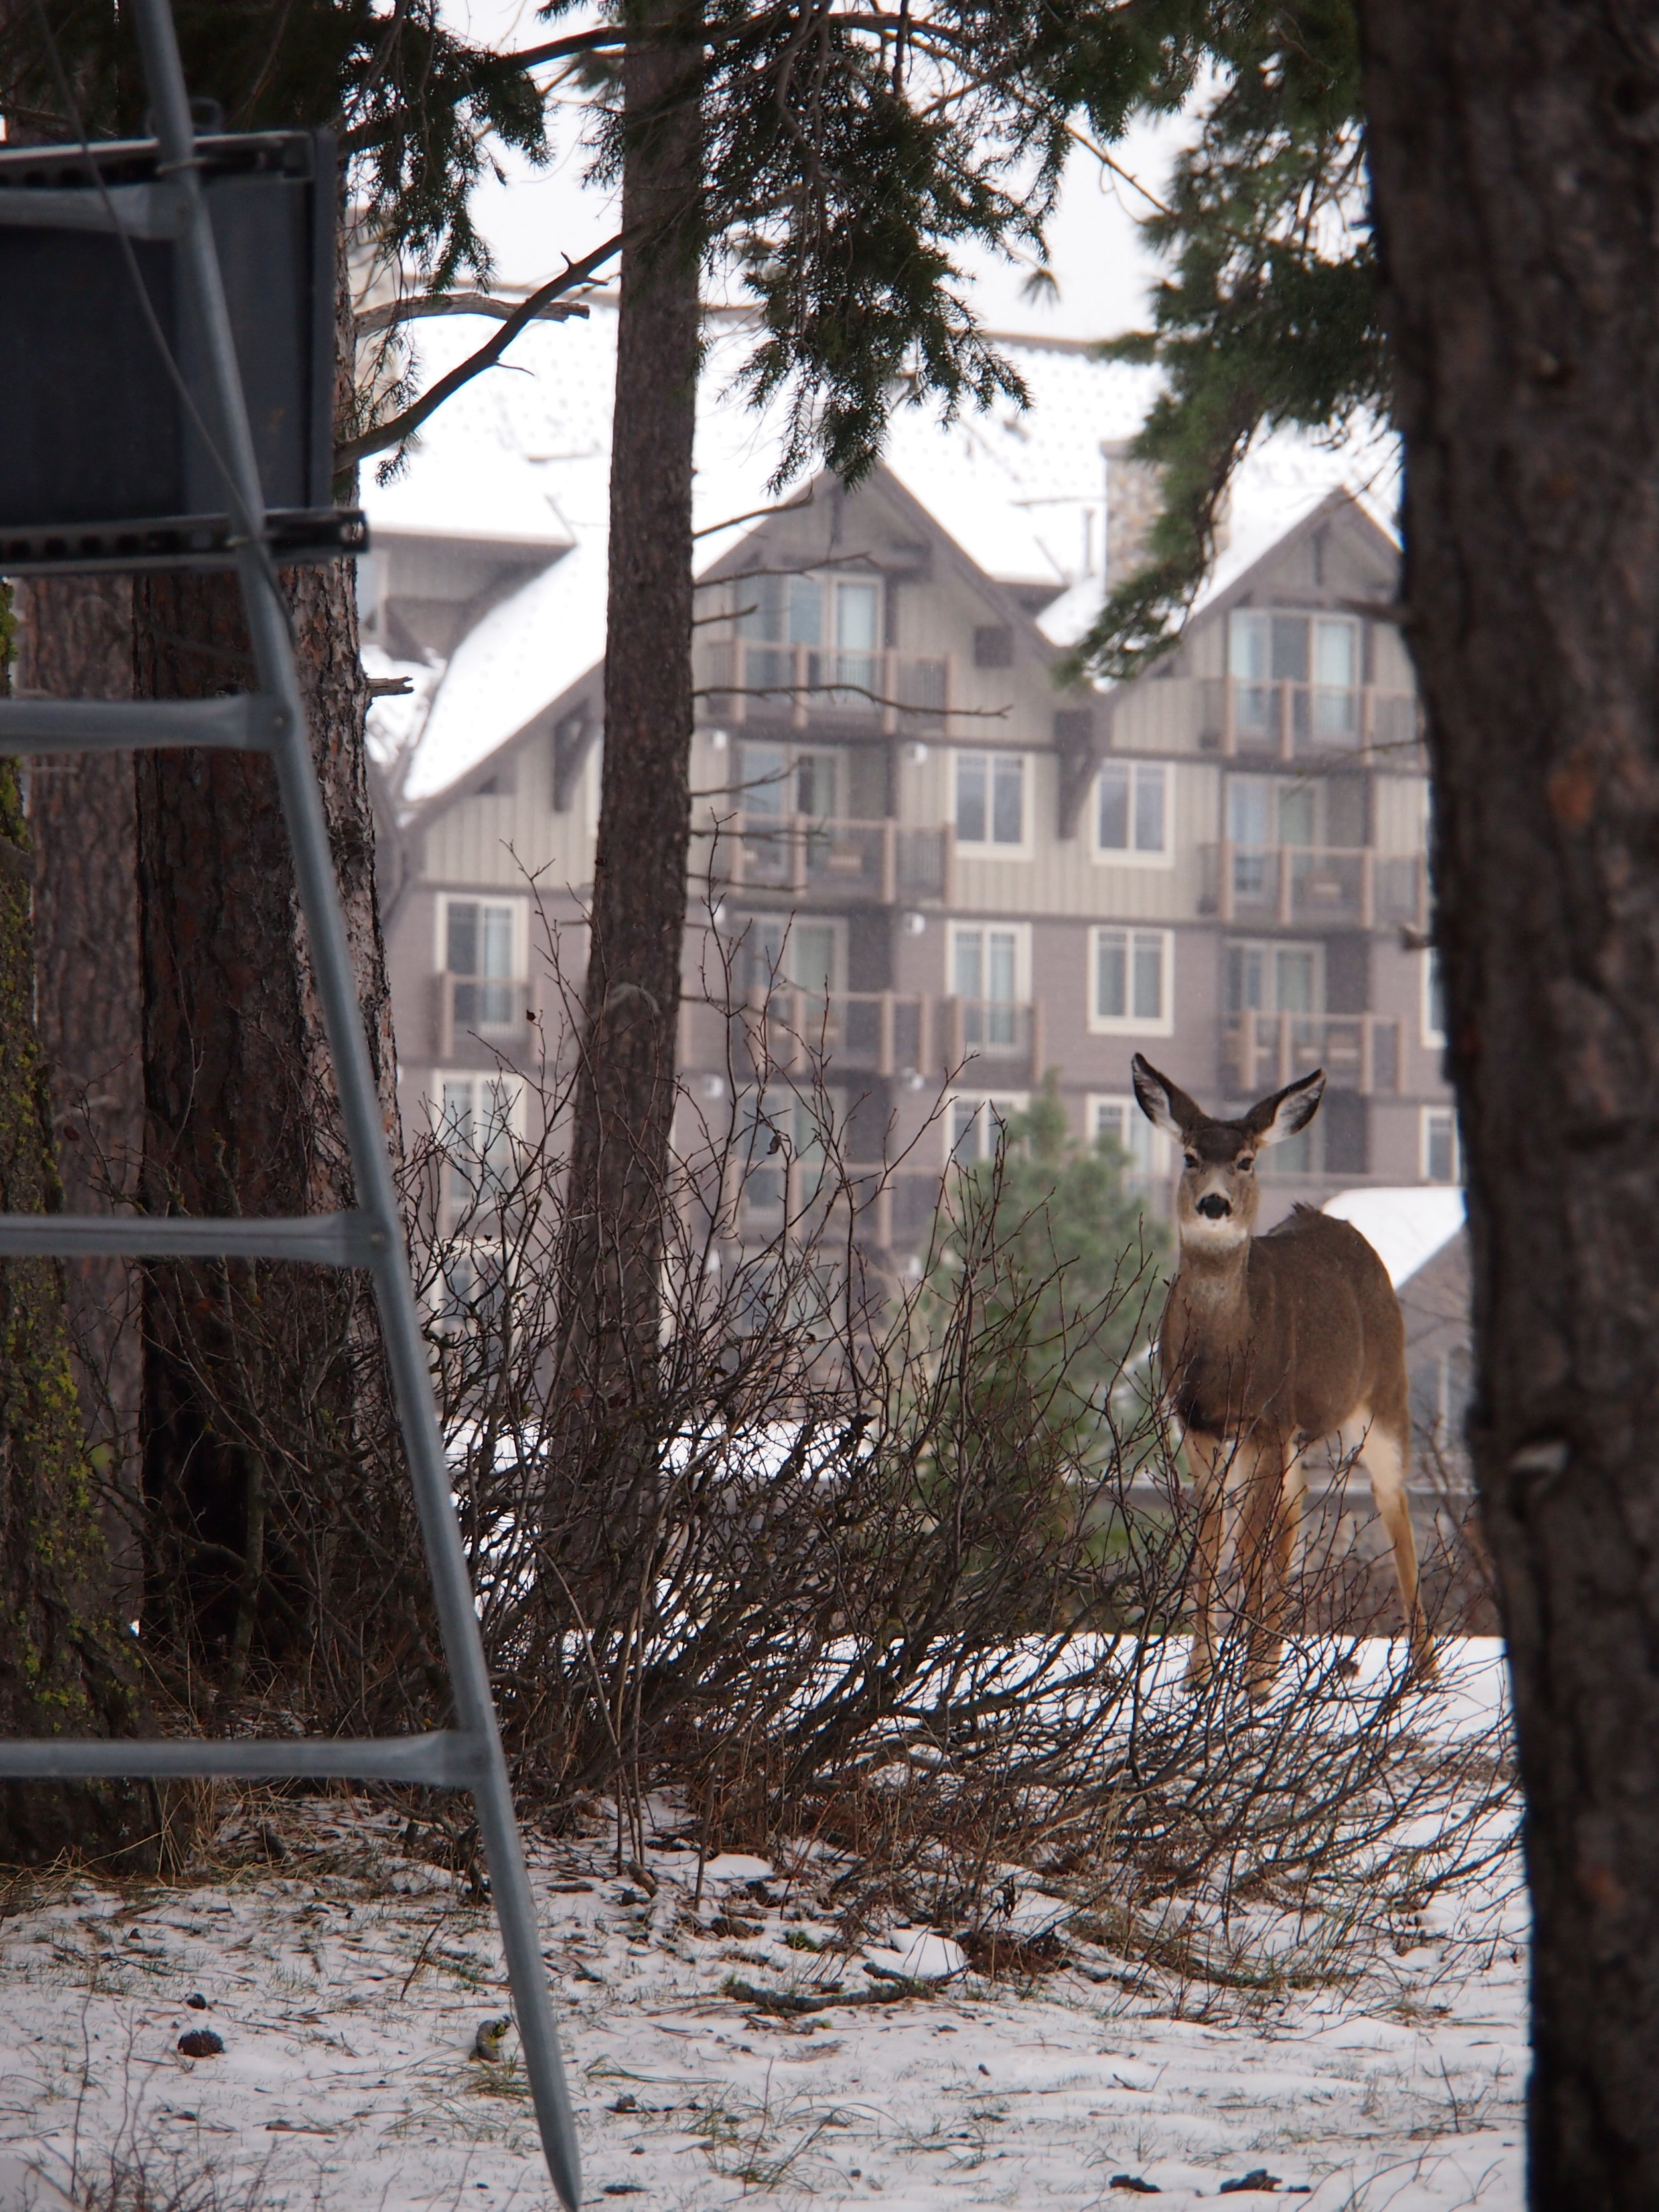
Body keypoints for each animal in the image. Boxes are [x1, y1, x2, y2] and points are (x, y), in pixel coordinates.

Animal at [1141, 1053, 1433, 1690]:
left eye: (1247, 1161)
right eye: (1190, 1156)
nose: (1215, 1204)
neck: (1224, 1358)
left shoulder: (1267, 1417)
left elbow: (1250, 1543)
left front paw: (1236, 1673)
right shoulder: (1198, 1425)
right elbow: (1211, 1542)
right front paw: (1200, 1674)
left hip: (1383, 1392)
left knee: (1394, 1504)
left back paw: (1421, 1667)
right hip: (1298, 1435)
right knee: (1296, 1512)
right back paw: (1271, 1659)